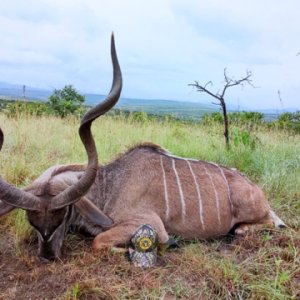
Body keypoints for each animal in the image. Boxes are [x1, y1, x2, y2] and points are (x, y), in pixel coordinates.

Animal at [0, 34, 284, 262]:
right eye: (32, 221)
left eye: (62, 215)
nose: (47, 257)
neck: (109, 186)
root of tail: (256, 190)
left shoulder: (148, 223)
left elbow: (99, 242)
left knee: (274, 223)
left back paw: (242, 229)